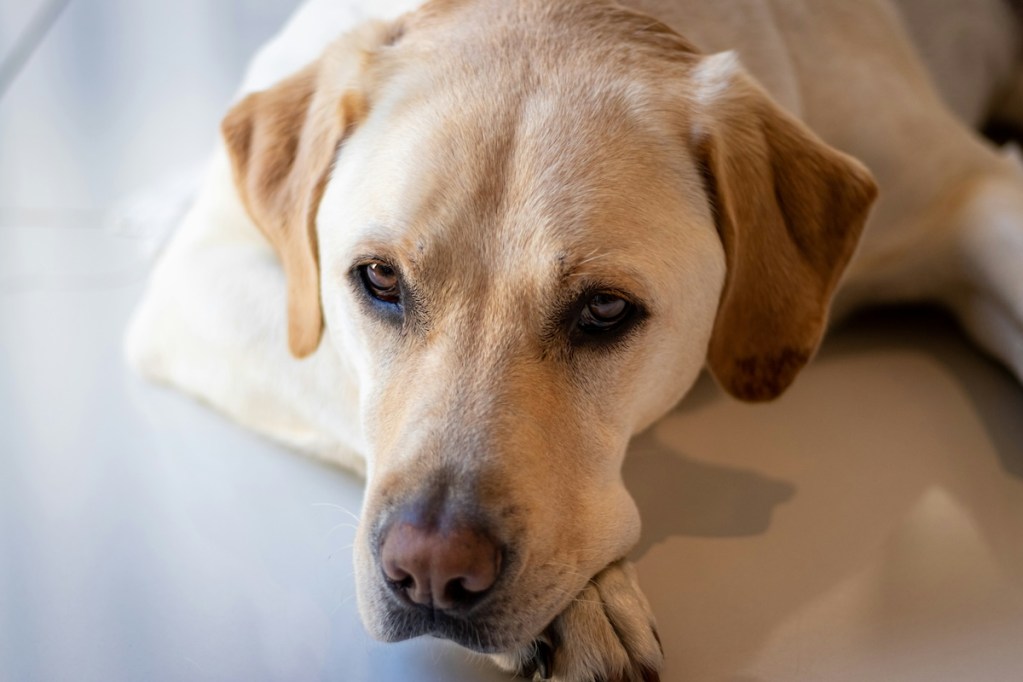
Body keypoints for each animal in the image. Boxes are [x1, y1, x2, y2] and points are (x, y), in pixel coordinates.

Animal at [125, 1, 1023, 682]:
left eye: (602, 310)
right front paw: (582, 609)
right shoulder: (196, 275)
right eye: (378, 279)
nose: (431, 572)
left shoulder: (976, 193)